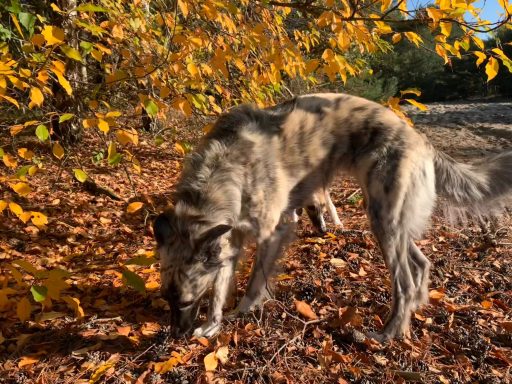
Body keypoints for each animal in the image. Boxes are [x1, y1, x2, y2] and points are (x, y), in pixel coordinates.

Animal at [153, 93, 512, 342]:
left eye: (185, 301)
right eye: (166, 299)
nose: (175, 336)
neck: (227, 169)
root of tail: (422, 140)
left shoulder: (274, 230)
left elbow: (255, 281)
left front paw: (243, 311)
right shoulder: (229, 241)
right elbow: (220, 287)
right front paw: (212, 324)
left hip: (382, 218)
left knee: (405, 284)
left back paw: (389, 333)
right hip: (390, 221)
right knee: (422, 264)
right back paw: (414, 311)